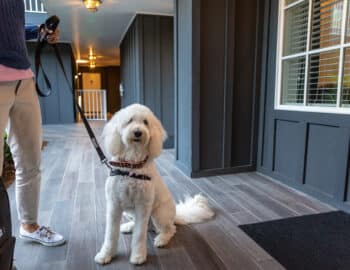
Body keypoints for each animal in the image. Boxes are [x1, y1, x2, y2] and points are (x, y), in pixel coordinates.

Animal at [95, 104, 213, 266]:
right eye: (129, 120)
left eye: (145, 122)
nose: (138, 132)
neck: (132, 166)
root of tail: (175, 215)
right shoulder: (114, 204)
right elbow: (110, 234)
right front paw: (106, 254)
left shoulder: (143, 206)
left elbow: (139, 235)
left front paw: (138, 256)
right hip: (130, 213)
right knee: (144, 226)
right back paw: (128, 226)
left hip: (159, 214)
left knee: (169, 229)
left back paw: (162, 239)